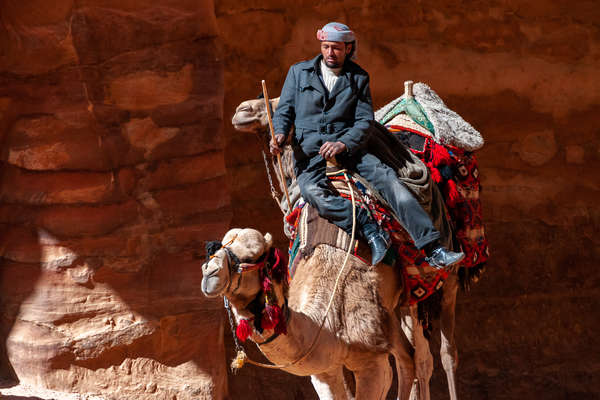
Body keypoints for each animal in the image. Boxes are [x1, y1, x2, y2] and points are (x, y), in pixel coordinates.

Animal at [232, 95, 462, 398]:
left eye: (256, 257)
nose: (242, 110)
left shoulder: (372, 359)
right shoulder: (325, 366)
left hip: (444, 281)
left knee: (440, 354)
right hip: (400, 302)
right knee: (411, 357)